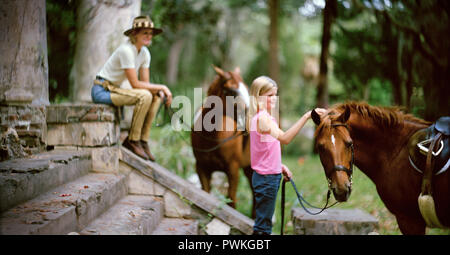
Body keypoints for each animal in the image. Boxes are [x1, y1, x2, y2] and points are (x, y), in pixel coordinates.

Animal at [190, 65, 255, 217]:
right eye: (231, 90)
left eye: (246, 88)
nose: (249, 118)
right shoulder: (201, 169)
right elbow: (205, 193)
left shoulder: (233, 170)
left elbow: (231, 201)